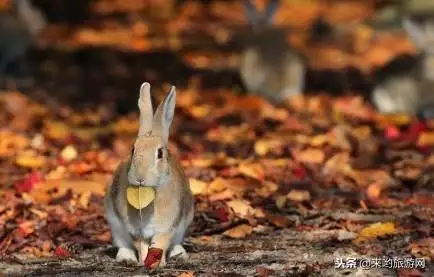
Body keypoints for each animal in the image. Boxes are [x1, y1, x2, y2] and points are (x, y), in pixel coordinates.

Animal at [104, 81, 194, 266]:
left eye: (160, 153)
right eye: (133, 149)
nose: (140, 178)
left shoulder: (166, 228)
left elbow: (160, 244)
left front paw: (160, 264)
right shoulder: (136, 231)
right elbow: (142, 247)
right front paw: (142, 262)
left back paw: (179, 254)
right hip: (115, 226)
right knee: (123, 244)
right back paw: (126, 258)